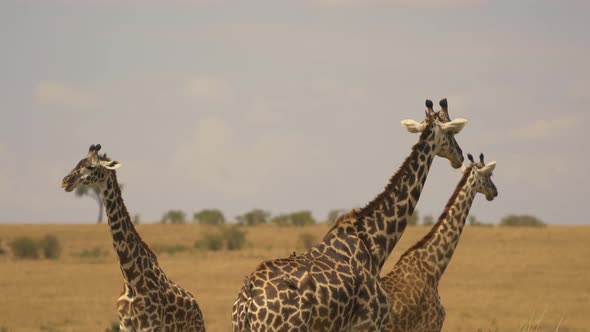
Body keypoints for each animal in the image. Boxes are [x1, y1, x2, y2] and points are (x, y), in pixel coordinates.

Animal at [60, 145, 207, 332]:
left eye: (91, 167)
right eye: (78, 162)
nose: (65, 181)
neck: (131, 280)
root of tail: (197, 307)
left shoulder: (148, 326)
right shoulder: (125, 325)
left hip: (195, 328)